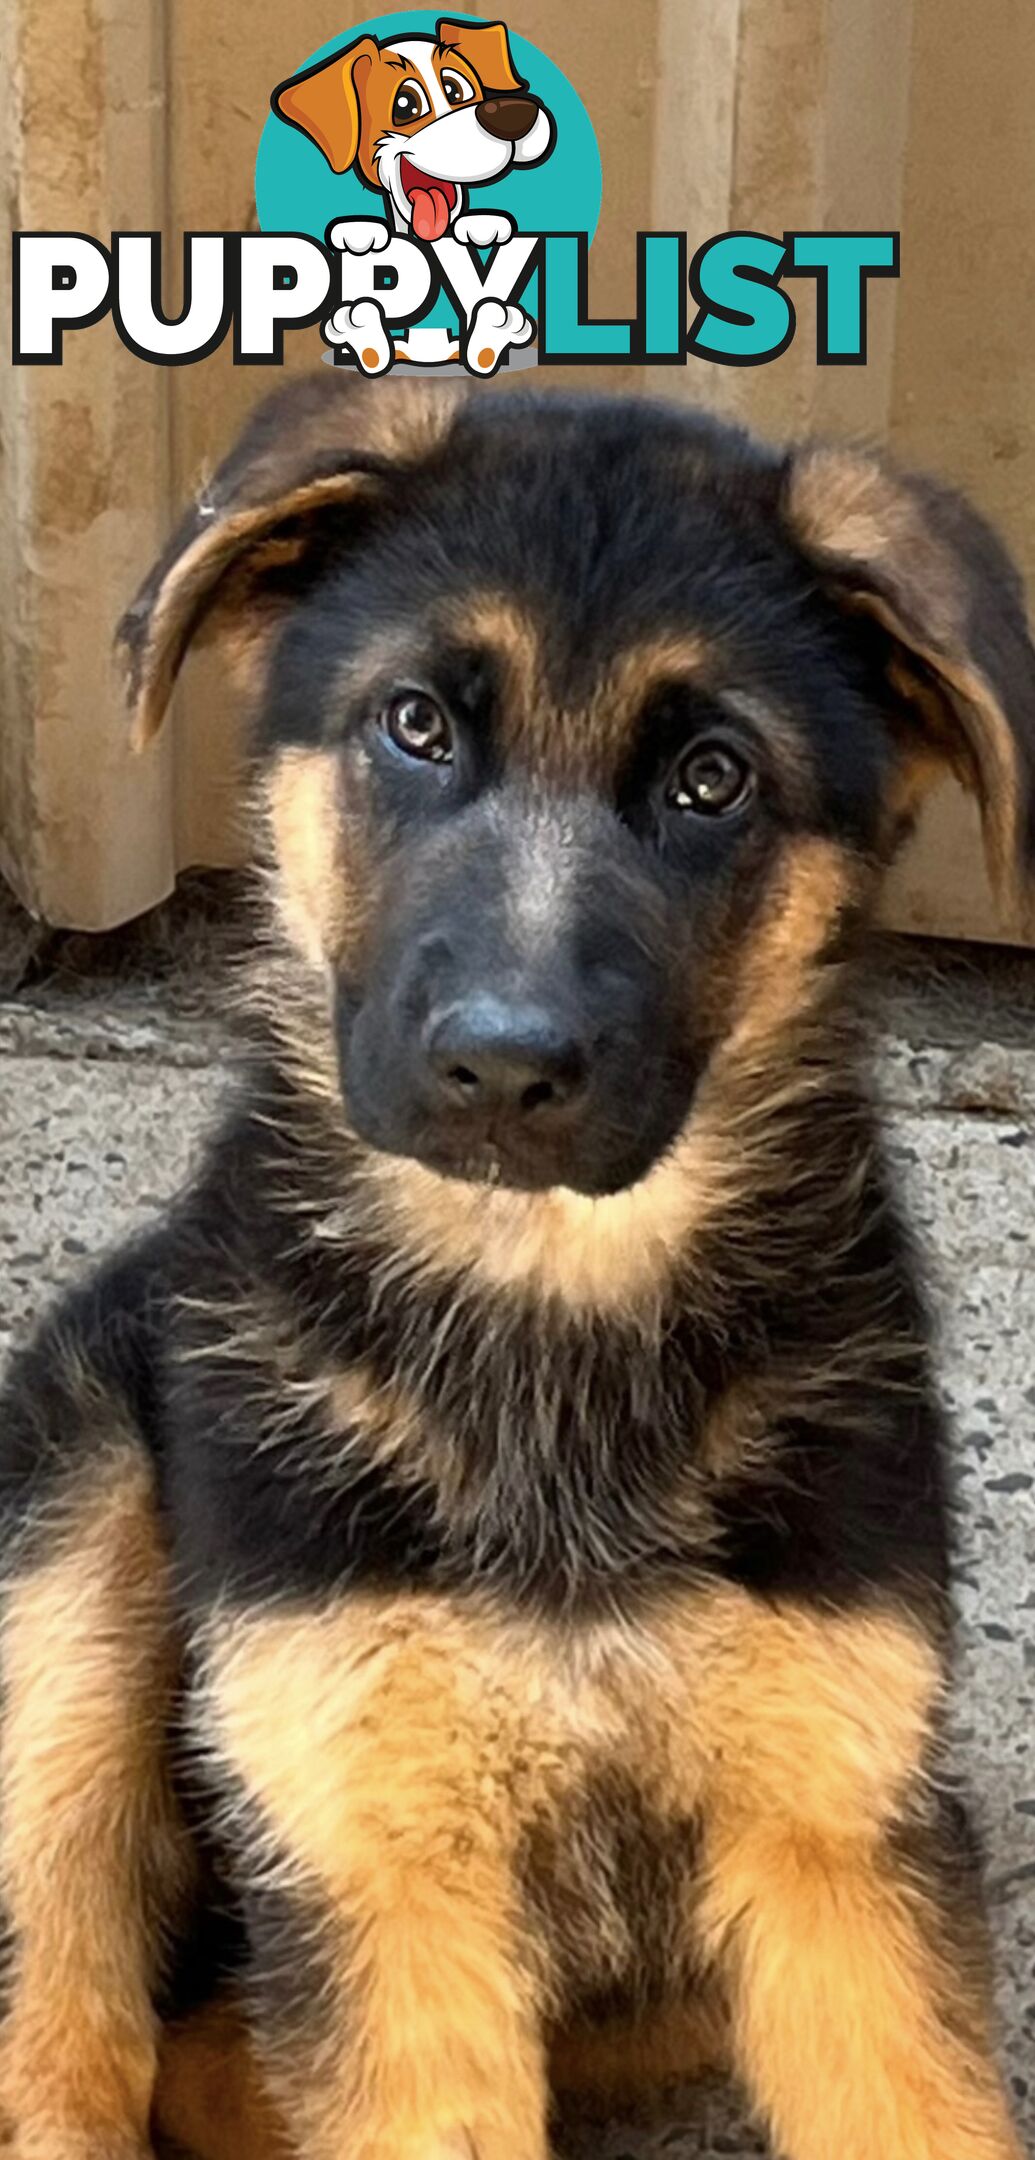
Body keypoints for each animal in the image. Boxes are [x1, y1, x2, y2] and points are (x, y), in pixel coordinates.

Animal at [2, 380, 1035, 2160]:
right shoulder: (377, 1849)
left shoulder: (838, 1833)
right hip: (73, 1541)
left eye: (710, 778)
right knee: (71, 2008)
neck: (549, 1307)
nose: (501, 1068)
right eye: (415, 724)